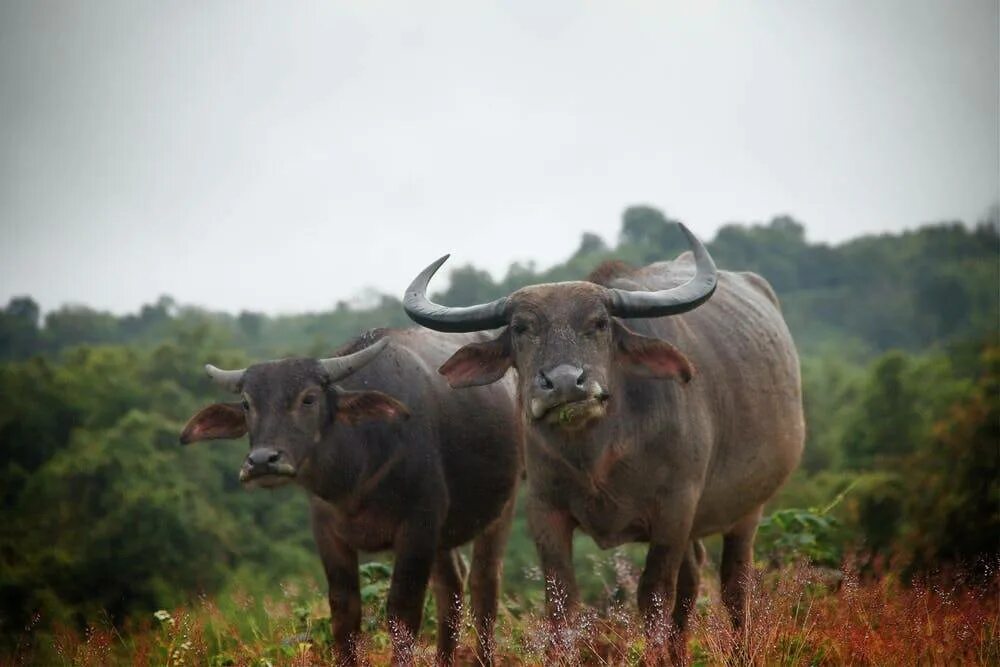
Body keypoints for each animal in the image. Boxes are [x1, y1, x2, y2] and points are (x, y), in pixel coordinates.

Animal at [182, 328, 524, 664]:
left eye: (309, 398)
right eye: (246, 404)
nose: (263, 461)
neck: (356, 476)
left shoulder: (419, 526)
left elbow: (403, 613)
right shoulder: (327, 532)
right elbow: (344, 613)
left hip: (503, 504)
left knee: (483, 582)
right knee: (451, 585)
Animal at [402, 226, 800, 664]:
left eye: (599, 323)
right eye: (522, 328)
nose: (563, 383)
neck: (597, 457)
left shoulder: (674, 508)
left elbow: (654, 596)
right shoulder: (546, 510)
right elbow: (561, 603)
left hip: (748, 509)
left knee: (733, 585)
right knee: (694, 578)